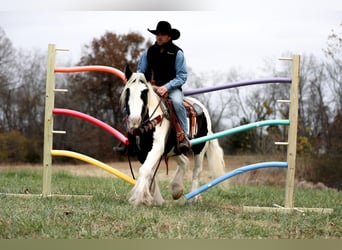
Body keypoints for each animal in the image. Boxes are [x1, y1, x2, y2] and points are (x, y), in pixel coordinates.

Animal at [120, 67, 227, 206]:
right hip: (173, 149)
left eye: (145, 92)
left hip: (199, 148)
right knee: (184, 161)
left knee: (197, 171)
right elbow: (150, 172)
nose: (134, 119)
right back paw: (176, 189)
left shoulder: (157, 148)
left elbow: (145, 170)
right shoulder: (141, 152)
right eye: (128, 91)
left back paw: (193, 197)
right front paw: (156, 199)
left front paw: (138, 198)